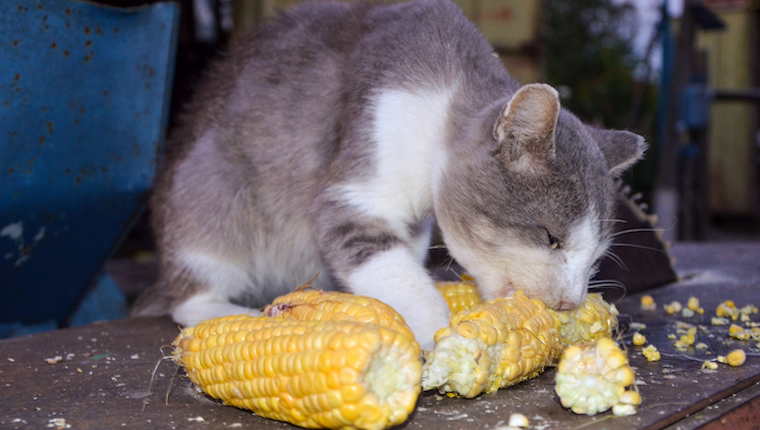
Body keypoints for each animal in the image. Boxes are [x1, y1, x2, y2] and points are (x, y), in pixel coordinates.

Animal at [131, 0, 640, 350]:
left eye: (597, 257)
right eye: (552, 239)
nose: (569, 303)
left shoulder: (412, 222)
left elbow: (401, 260)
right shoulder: (355, 187)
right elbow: (393, 269)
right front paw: (440, 335)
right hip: (209, 196)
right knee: (188, 295)